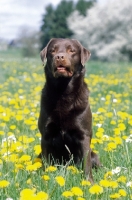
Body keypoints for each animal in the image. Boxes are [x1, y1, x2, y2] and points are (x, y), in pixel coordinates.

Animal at [38, 38, 100, 182]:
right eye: (52, 50)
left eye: (71, 50)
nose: (59, 57)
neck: (63, 93)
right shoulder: (46, 135)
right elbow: (46, 162)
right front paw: (45, 178)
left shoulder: (84, 135)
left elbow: (86, 163)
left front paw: (89, 182)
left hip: (94, 155)